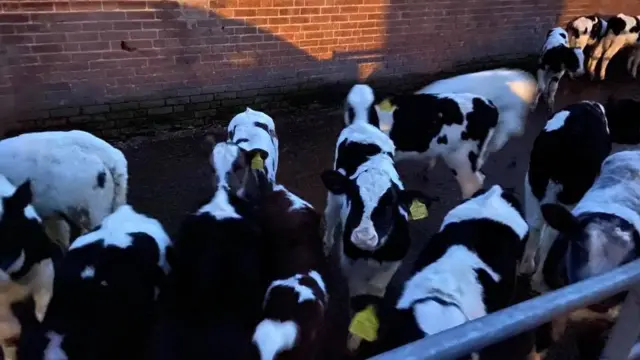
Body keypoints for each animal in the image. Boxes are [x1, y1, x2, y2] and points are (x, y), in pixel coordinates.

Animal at [520, 101, 608, 290]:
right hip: (568, 197)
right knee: (551, 234)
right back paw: (538, 280)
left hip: (532, 186)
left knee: (535, 226)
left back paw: (526, 266)